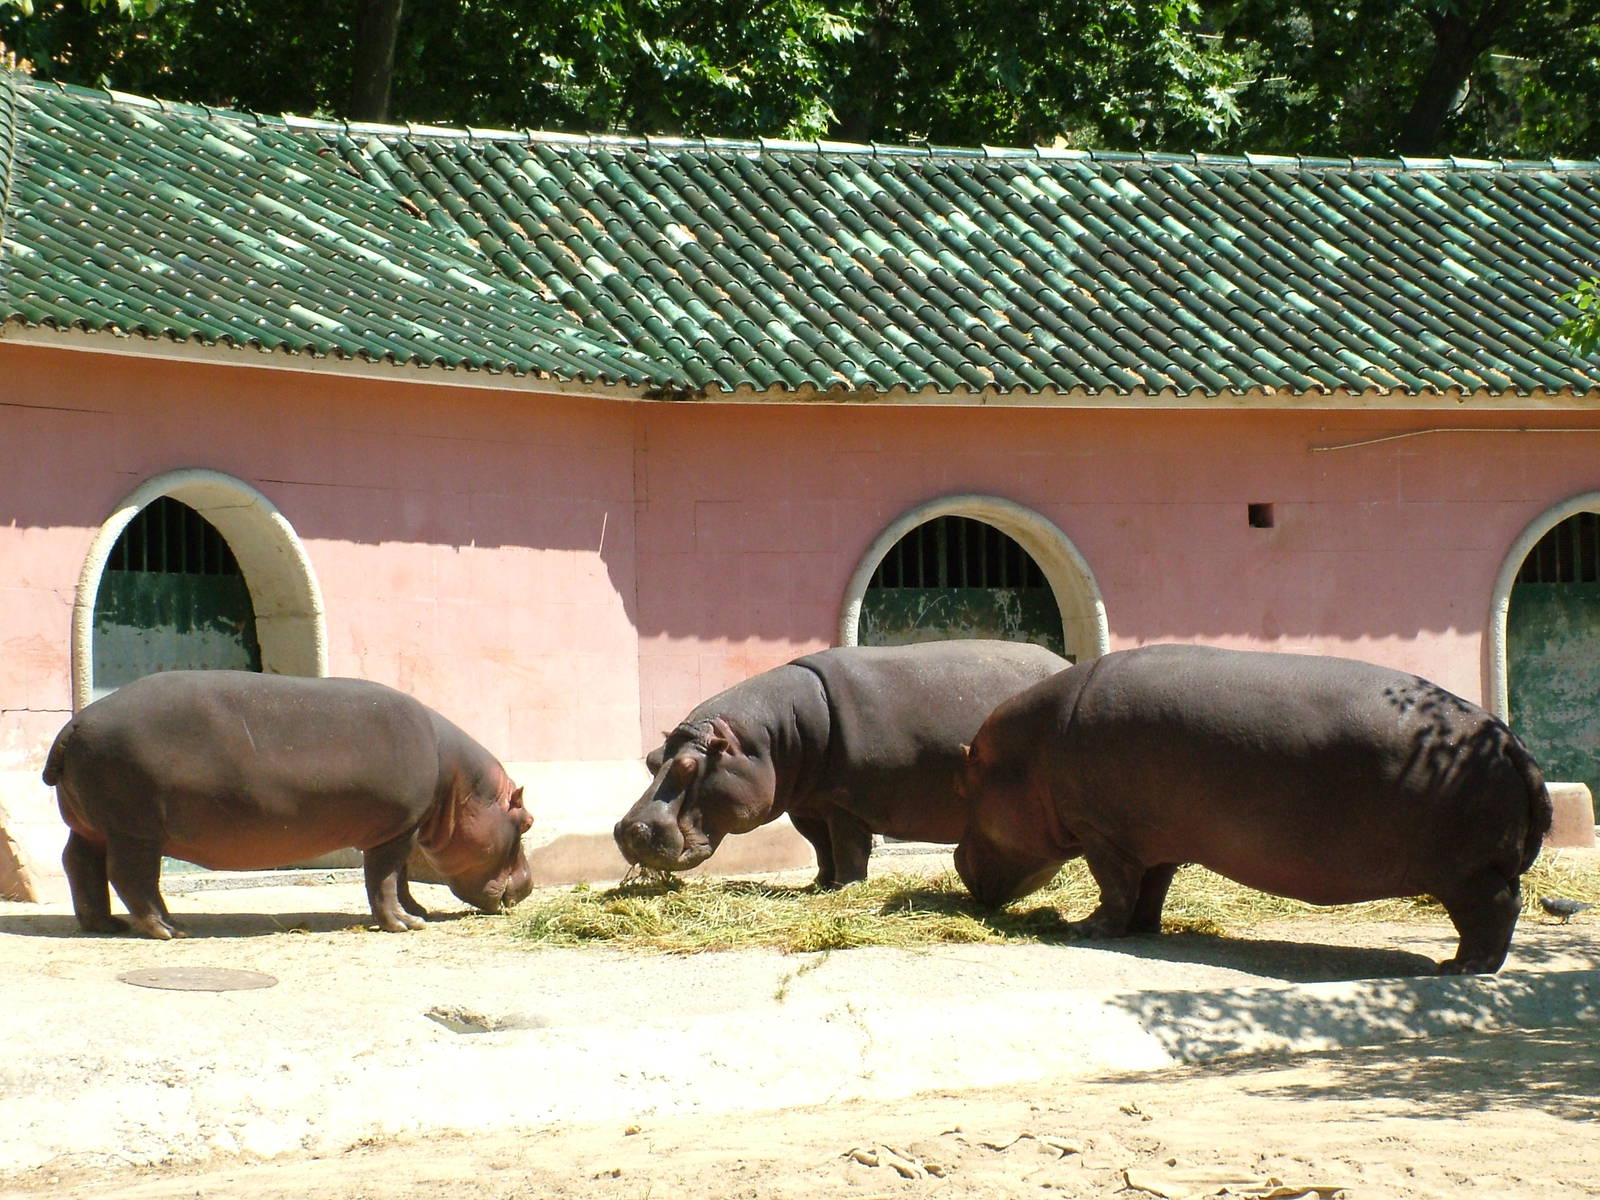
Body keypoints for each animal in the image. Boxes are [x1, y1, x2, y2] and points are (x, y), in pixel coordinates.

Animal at [44, 670, 534, 939]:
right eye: (527, 821)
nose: (530, 885)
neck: (459, 784)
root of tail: (73, 726)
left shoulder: (404, 831)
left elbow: (401, 879)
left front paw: (418, 912)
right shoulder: (394, 831)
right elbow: (384, 879)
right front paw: (406, 925)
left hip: (91, 826)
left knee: (80, 864)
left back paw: (104, 924)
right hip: (135, 830)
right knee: (132, 877)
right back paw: (171, 929)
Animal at [615, 640, 1067, 887]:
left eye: (689, 768)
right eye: (652, 760)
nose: (626, 830)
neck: (771, 738)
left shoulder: (845, 804)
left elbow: (848, 848)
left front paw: (845, 887)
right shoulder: (808, 806)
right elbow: (821, 847)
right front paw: (819, 884)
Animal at [954, 644, 1552, 974]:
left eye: (969, 780)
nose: (957, 859)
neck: (1029, 752)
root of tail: (1510, 743)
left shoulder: (1103, 834)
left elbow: (1115, 888)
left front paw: (1086, 930)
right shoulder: (1154, 840)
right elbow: (1149, 888)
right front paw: (1145, 931)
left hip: (1468, 874)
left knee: (1497, 911)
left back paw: (1461, 968)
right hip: (1472, 869)